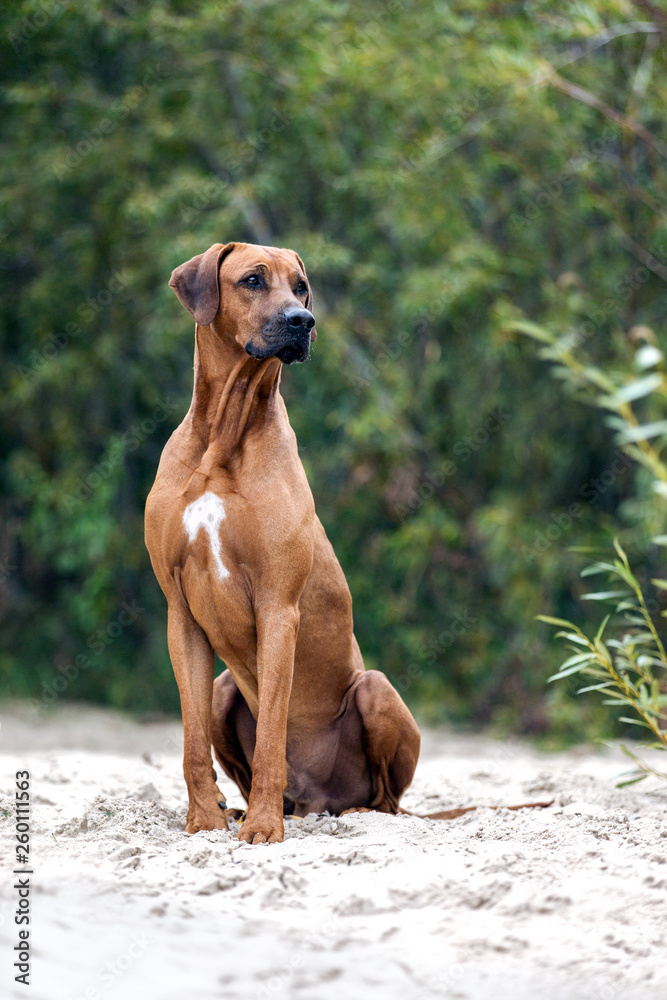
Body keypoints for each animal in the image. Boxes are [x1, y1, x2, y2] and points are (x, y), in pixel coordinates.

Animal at [144, 244, 420, 844]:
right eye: (253, 280)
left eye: (301, 287)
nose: (303, 322)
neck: (224, 434)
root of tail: (318, 800)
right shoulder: (180, 613)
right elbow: (191, 743)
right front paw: (204, 820)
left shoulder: (278, 607)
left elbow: (273, 735)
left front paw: (264, 830)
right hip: (224, 688)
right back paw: (240, 808)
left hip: (375, 688)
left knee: (386, 800)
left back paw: (336, 814)